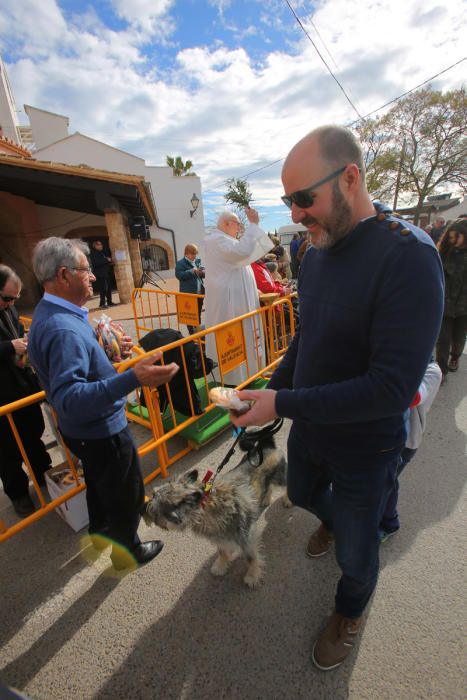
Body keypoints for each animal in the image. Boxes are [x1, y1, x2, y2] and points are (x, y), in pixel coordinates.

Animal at [143, 432, 288, 584]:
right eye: (153, 494)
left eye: (154, 506)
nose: (143, 507)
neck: (205, 508)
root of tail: (267, 444)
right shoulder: (219, 538)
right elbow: (222, 551)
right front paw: (221, 566)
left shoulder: (246, 538)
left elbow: (250, 557)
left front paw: (252, 575)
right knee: (268, 487)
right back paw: (265, 499)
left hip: (281, 478)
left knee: (287, 486)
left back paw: (287, 500)